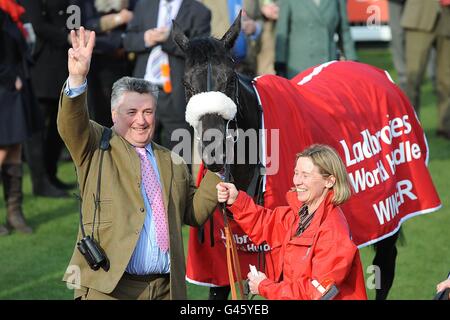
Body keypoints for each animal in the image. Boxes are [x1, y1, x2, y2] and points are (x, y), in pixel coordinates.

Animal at [172, 15, 436, 300]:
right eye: (186, 84)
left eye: (230, 80)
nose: (215, 153)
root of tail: (377, 73)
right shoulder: (222, 265)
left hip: (390, 212)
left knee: (384, 269)